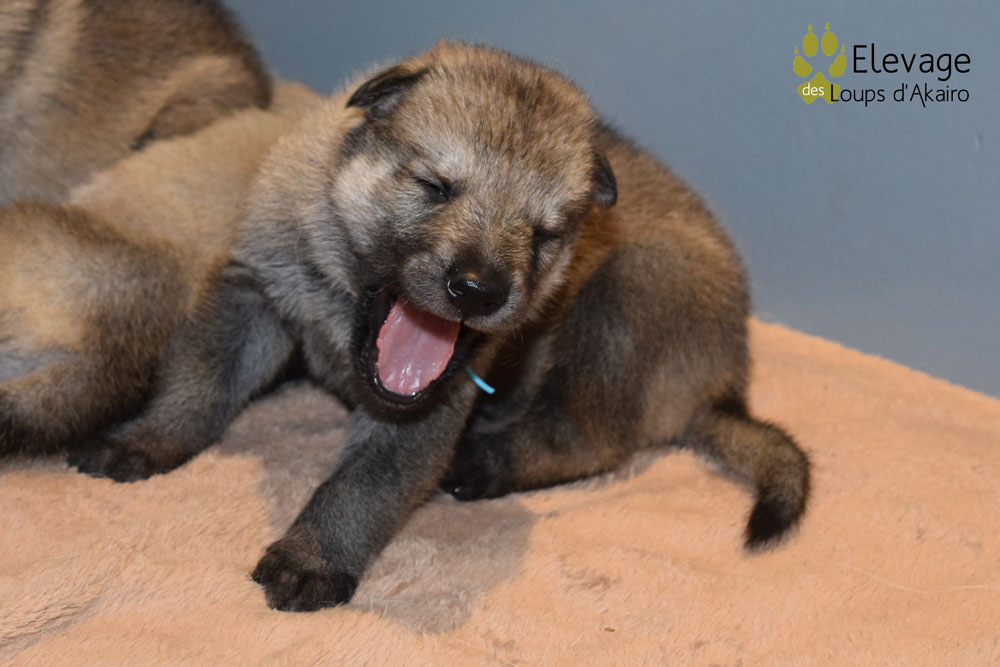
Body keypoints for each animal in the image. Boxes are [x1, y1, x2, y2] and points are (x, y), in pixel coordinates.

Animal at [61, 42, 810, 612]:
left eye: (544, 234)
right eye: (435, 187)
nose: (478, 289)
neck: (344, 299)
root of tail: (727, 381)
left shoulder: (426, 406)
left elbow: (362, 485)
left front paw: (312, 557)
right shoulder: (253, 293)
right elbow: (199, 382)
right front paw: (146, 440)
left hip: (623, 298)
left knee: (589, 439)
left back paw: (483, 461)